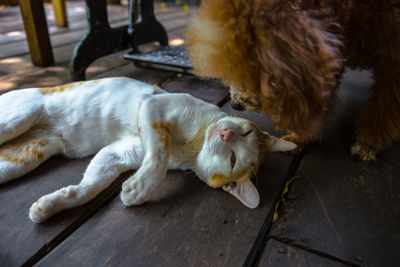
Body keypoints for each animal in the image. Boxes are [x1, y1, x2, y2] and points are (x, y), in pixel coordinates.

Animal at [0, 78, 294, 224]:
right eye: (245, 132)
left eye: (233, 160)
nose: (225, 133)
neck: (192, 145)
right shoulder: (154, 107)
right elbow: (159, 156)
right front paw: (139, 189)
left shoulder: (118, 153)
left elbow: (89, 187)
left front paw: (51, 204)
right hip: (20, 117)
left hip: (20, 159)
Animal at [187, 0, 400, 161]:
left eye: (247, 70)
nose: (235, 105)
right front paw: (300, 137)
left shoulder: (393, 61)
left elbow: (385, 106)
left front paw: (369, 142)